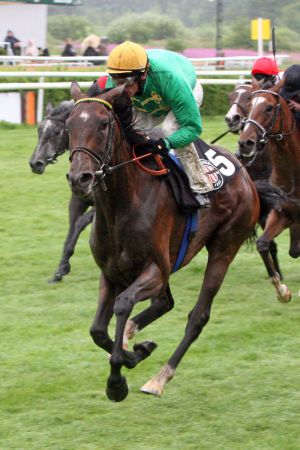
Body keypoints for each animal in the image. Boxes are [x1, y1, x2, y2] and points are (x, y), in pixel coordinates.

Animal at [28, 101, 94, 282]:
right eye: (39, 131)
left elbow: (80, 222)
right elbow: (72, 227)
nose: (35, 163)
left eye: (57, 132)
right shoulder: (77, 201)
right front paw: (60, 269)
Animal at [67, 81, 258, 400]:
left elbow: (123, 304)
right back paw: (134, 338)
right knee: (165, 303)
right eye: (69, 125)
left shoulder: (155, 269)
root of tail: (245, 175)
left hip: (224, 248)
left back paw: (159, 378)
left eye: (104, 125)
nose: (79, 178)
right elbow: (97, 330)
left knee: (197, 317)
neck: (122, 203)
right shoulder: (111, 272)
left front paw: (117, 381)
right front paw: (136, 351)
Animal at [240, 80, 300, 302]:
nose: (245, 142)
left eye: (269, 108)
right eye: (249, 106)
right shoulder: (283, 211)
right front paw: (281, 289)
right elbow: (263, 244)